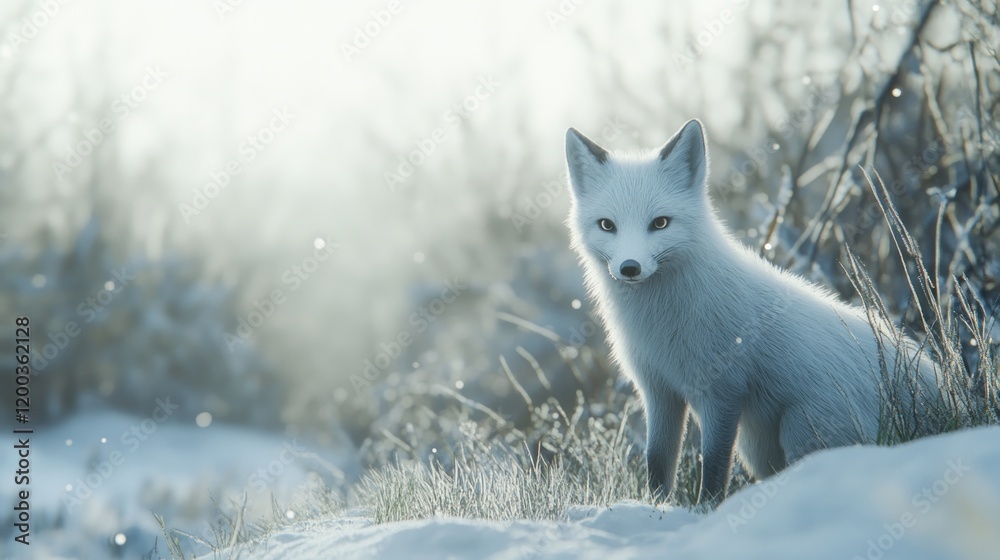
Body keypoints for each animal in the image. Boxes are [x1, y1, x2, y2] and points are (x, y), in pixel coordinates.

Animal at [564, 119, 941, 504]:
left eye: (660, 223)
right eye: (607, 225)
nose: (630, 268)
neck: (662, 324)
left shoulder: (722, 393)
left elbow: (714, 469)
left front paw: (706, 511)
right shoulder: (658, 390)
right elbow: (658, 464)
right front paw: (656, 508)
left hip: (798, 430)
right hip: (761, 446)